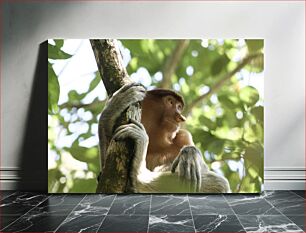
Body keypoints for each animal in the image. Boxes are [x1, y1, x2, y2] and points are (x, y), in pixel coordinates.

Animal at [98, 82, 230, 193]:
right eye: (170, 102)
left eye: (179, 106)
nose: (180, 117)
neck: (157, 144)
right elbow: (106, 177)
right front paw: (113, 107)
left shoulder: (183, 136)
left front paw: (190, 153)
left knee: (219, 183)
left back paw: (140, 176)